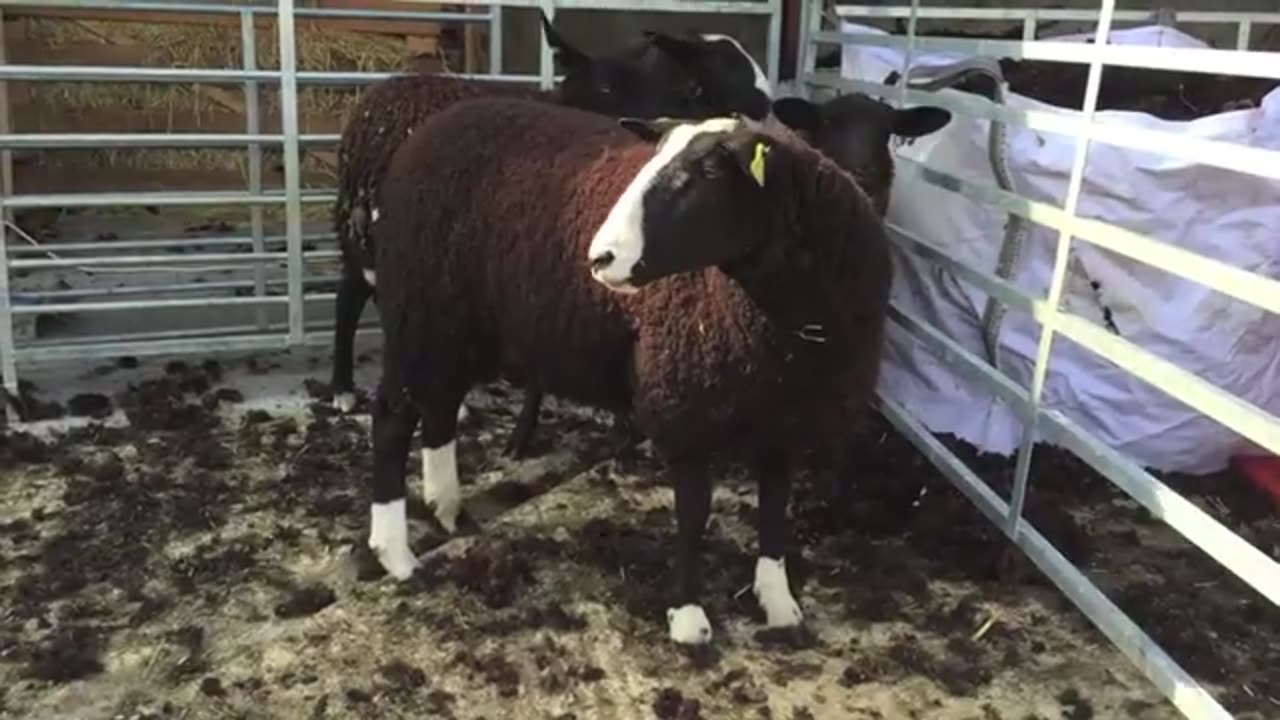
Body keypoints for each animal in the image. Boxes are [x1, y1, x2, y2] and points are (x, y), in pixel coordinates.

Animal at [368, 96, 890, 645]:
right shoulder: (682, 402)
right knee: (393, 418)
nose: (600, 257)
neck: (787, 333)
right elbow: (693, 511)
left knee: (440, 407)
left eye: (710, 171)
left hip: (457, 327)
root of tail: (434, 124)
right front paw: (687, 614)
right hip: (418, 310)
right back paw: (395, 552)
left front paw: (778, 600)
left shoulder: (786, 420)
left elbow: (774, 508)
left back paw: (445, 507)